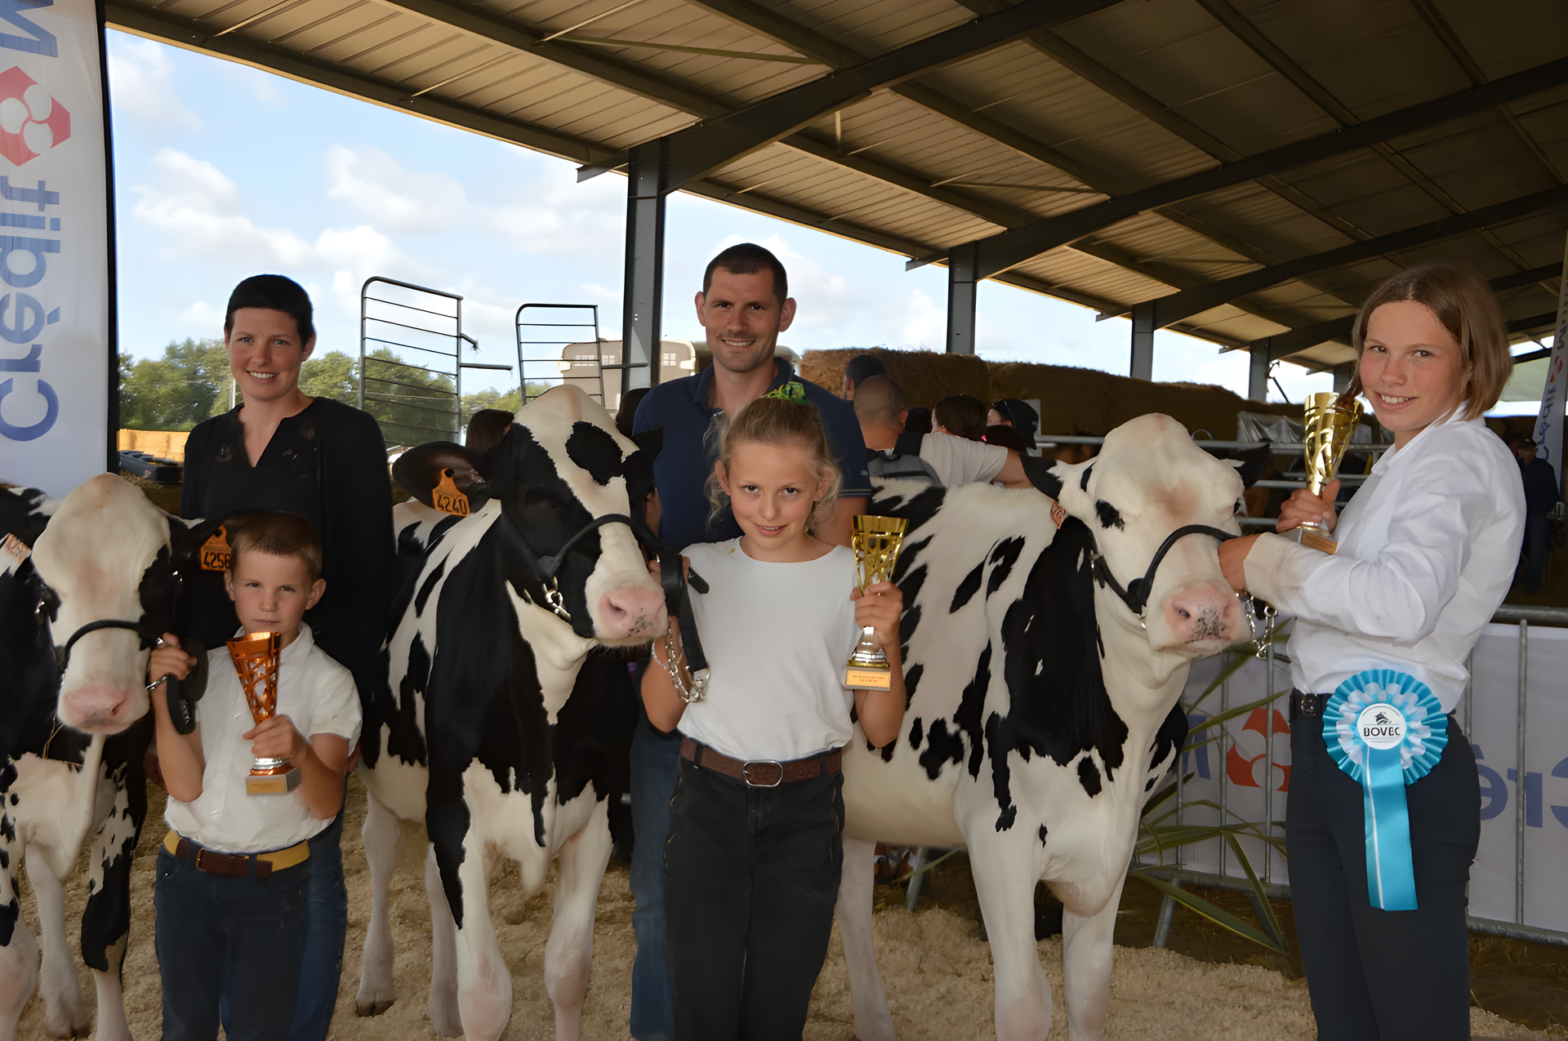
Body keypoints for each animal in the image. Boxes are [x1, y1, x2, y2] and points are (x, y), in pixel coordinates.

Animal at [0, 476, 221, 1041]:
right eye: (43, 590)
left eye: (163, 576)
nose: (97, 704)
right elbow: (12, 965)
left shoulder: (126, 796)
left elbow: (104, 935)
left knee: (45, 878)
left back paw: (62, 1003)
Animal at [355, 385, 667, 1041]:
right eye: (533, 495)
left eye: (644, 486)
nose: (638, 605)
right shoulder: (457, 818)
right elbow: (486, 996)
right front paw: (464, 1001)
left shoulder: (599, 814)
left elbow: (568, 971)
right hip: (387, 770)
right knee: (380, 850)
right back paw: (374, 981)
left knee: (428, 878)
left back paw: (439, 1003)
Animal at [840, 413, 1254, 1041]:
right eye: (1109, 510)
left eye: (1232, 502)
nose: (1204, 608)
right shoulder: (995, 834)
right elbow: (1024, 1004)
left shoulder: (1115, 843)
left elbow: (1090, 989)